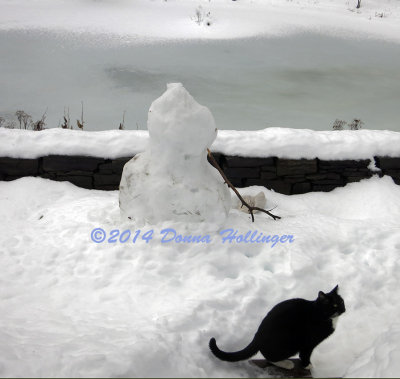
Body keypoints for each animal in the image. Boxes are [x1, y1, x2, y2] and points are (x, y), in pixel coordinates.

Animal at [209, 286, 344, 370]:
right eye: (334, 305)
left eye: (342, 302)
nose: (344, 309)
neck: (319, 313)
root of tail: (257, 335)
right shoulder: (308, 343)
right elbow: (305, 355)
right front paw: (307, 365)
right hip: (289, 342)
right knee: (270, 358)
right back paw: (287, 363)